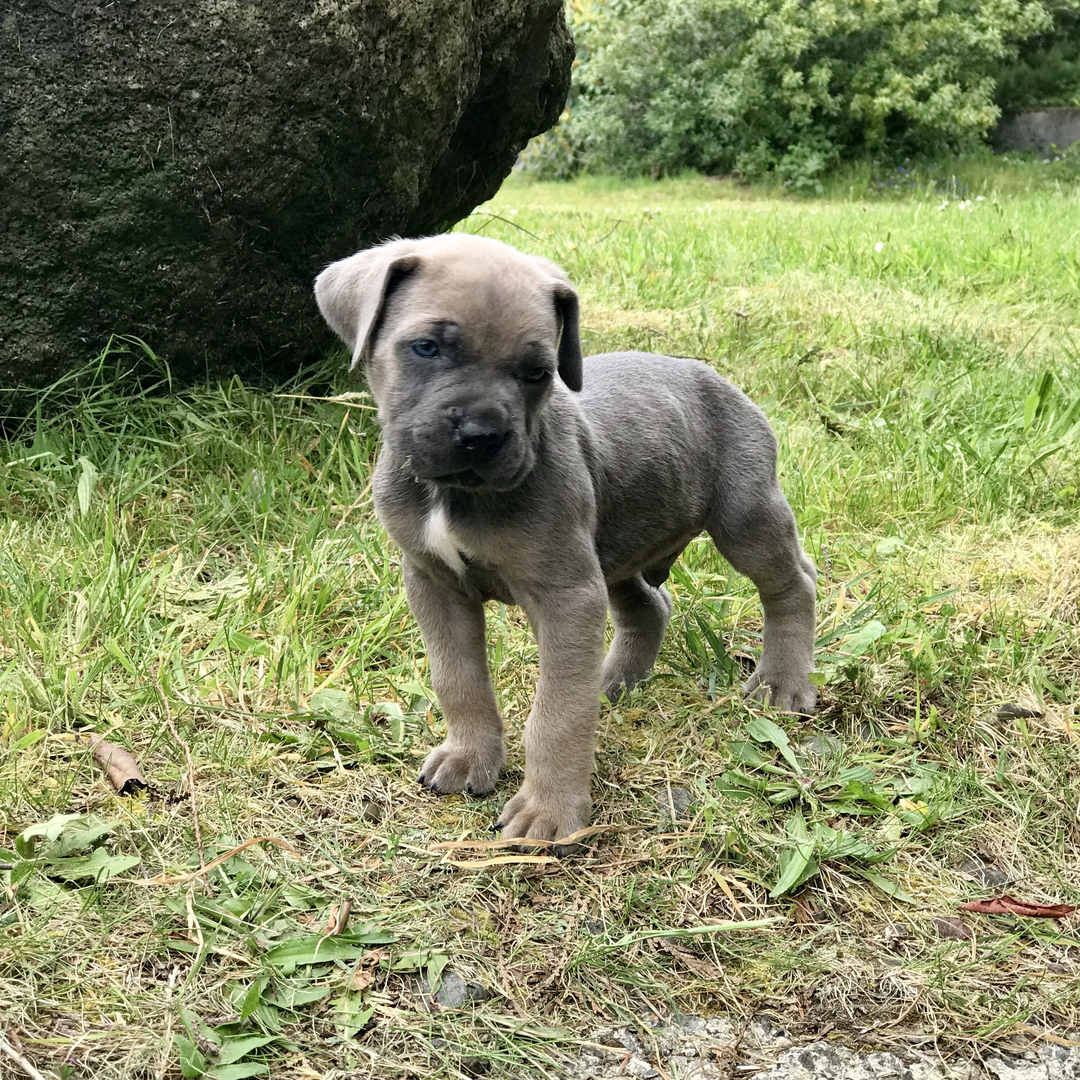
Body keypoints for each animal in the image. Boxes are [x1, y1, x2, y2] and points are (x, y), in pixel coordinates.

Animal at [315, 236, 812, 851]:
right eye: (426, 348)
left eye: (537, 372)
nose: (481, 435)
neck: (454, 495)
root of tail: (710, 375)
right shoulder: (434, 582)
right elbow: (457, 678)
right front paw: (469, 756)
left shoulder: (566, 596)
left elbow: (557, 714)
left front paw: (548, 811)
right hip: (619, 549)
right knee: (649, 606)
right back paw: (614, 679)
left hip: (745, 519)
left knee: (793, 584)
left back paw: (783, 682)